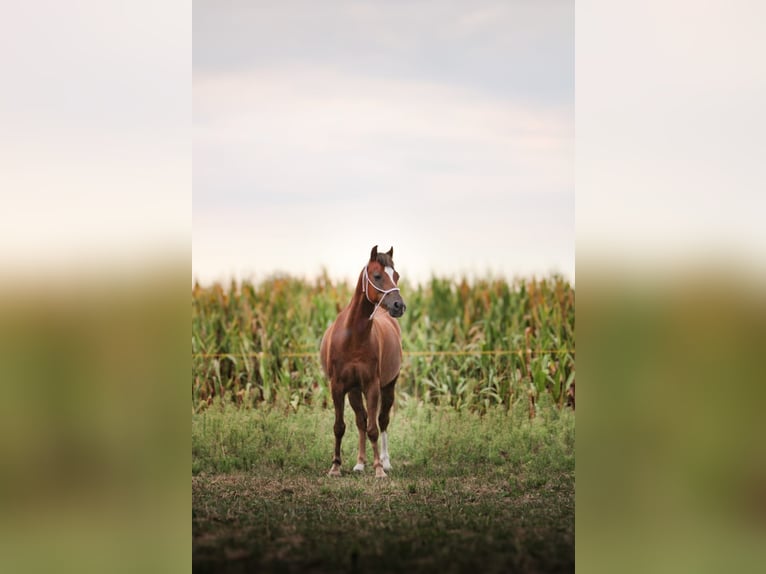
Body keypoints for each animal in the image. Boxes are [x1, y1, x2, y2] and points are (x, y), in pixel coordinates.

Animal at [320, 245, 408, 480]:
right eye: (377, 276)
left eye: (396, 276)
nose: (399, 306)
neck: (353, 338)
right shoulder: (338, 387)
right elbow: (340, 426)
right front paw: (335, 467)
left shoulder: (372, 386)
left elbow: (373, 429)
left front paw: (379, 469)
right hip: (353, 390)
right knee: (361, 420)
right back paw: (360, 464)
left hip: (388, 386)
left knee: (382, 420)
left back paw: (385, 462)